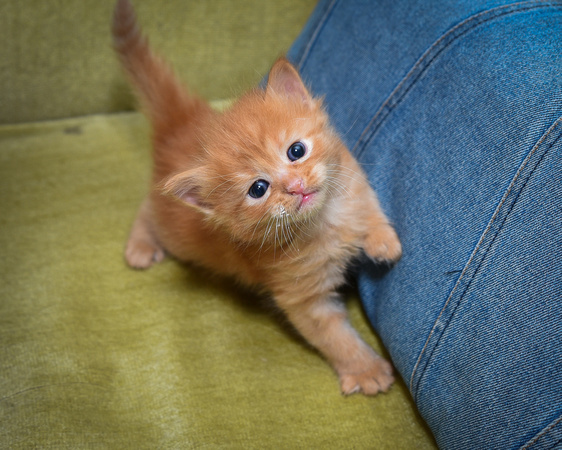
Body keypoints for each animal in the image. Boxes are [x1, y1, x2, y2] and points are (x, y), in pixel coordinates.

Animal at [114, 0, 400, 394]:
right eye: (258, 189)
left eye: (296, 151)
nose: (294, 185)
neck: (324, 222)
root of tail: (181, 127)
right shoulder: (303, 297)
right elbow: (335, 338)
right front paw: (366, 370)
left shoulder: (352, 177)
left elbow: (370, 206)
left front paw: (383, 241)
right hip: (176, 234)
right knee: (148, 207)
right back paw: (140, 246)